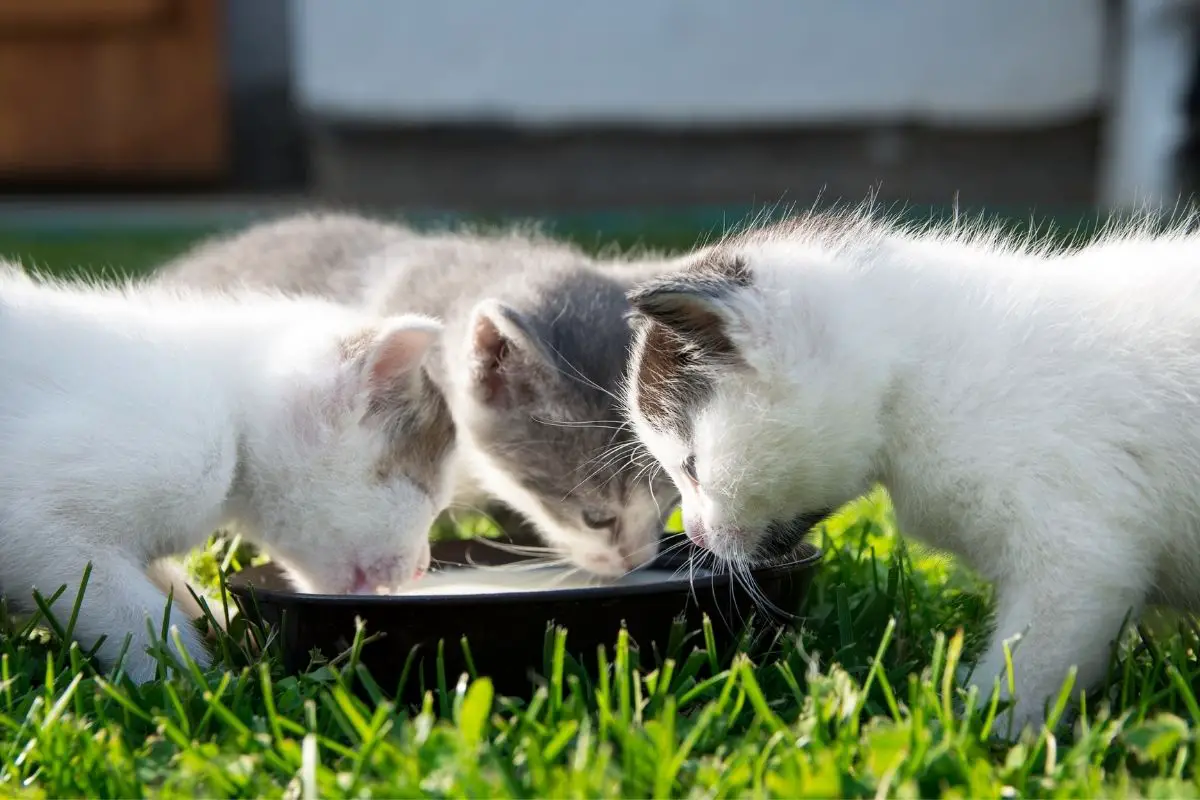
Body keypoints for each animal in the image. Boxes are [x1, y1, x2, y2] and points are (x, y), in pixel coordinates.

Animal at [0, 263, 453, 681]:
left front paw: (225, 631)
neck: (232, 414)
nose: (422, 566)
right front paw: (185, 673)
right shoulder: (40, 519)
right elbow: (128, 606)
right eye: (426, 492)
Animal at [619, 209, 1200, 734]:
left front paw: (981, 729)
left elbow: (1033, 659)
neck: (920, 373)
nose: (695, 533)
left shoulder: (1078, 560)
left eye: (692, 468)